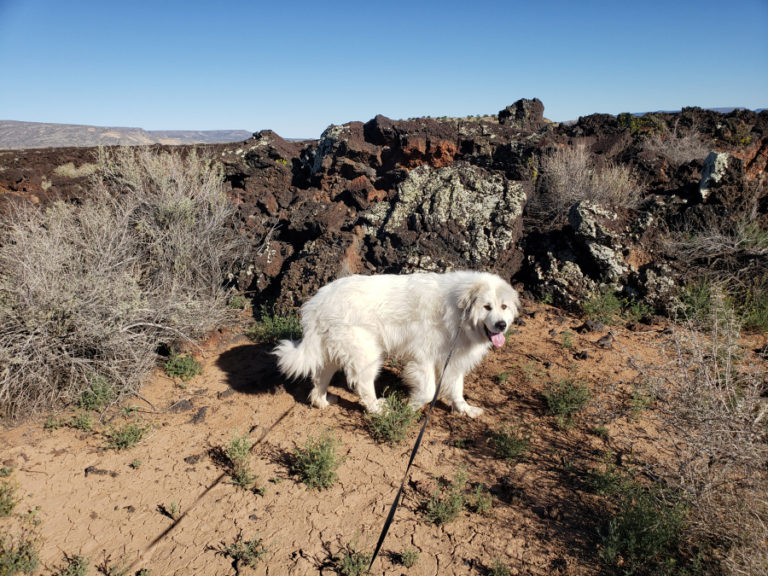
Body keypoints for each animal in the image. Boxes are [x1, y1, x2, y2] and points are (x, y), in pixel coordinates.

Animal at [272, 272, 520, 416]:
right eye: (487, 307)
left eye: (504, 307)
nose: (501, 325)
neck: (458, 311)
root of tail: (318, 302)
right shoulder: (423, 357)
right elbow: (428, 392)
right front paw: (409, 408)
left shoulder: (451, 360)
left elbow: (457, 390)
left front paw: (465, 410)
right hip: (367, 354)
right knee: (363, 385)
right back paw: (378, 410)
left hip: (334, 351)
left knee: (319, 378)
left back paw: (322, 401)